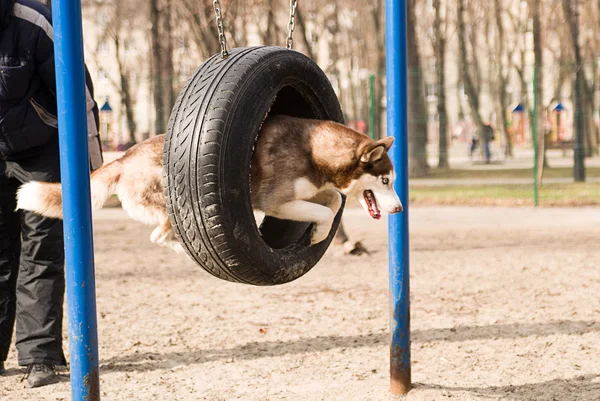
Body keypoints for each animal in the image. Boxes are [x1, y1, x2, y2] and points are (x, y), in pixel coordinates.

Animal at [16, 115, 404, 252]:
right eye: (385, 179)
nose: (400, 208)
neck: (315, 150)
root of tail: (125, 156)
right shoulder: (277, 202)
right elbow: (324, 211)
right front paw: (319, 232)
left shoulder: (315, 189)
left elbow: (334, 202)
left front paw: (321, 232)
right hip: (171, 204)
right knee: (159, 236)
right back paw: (183, 249)